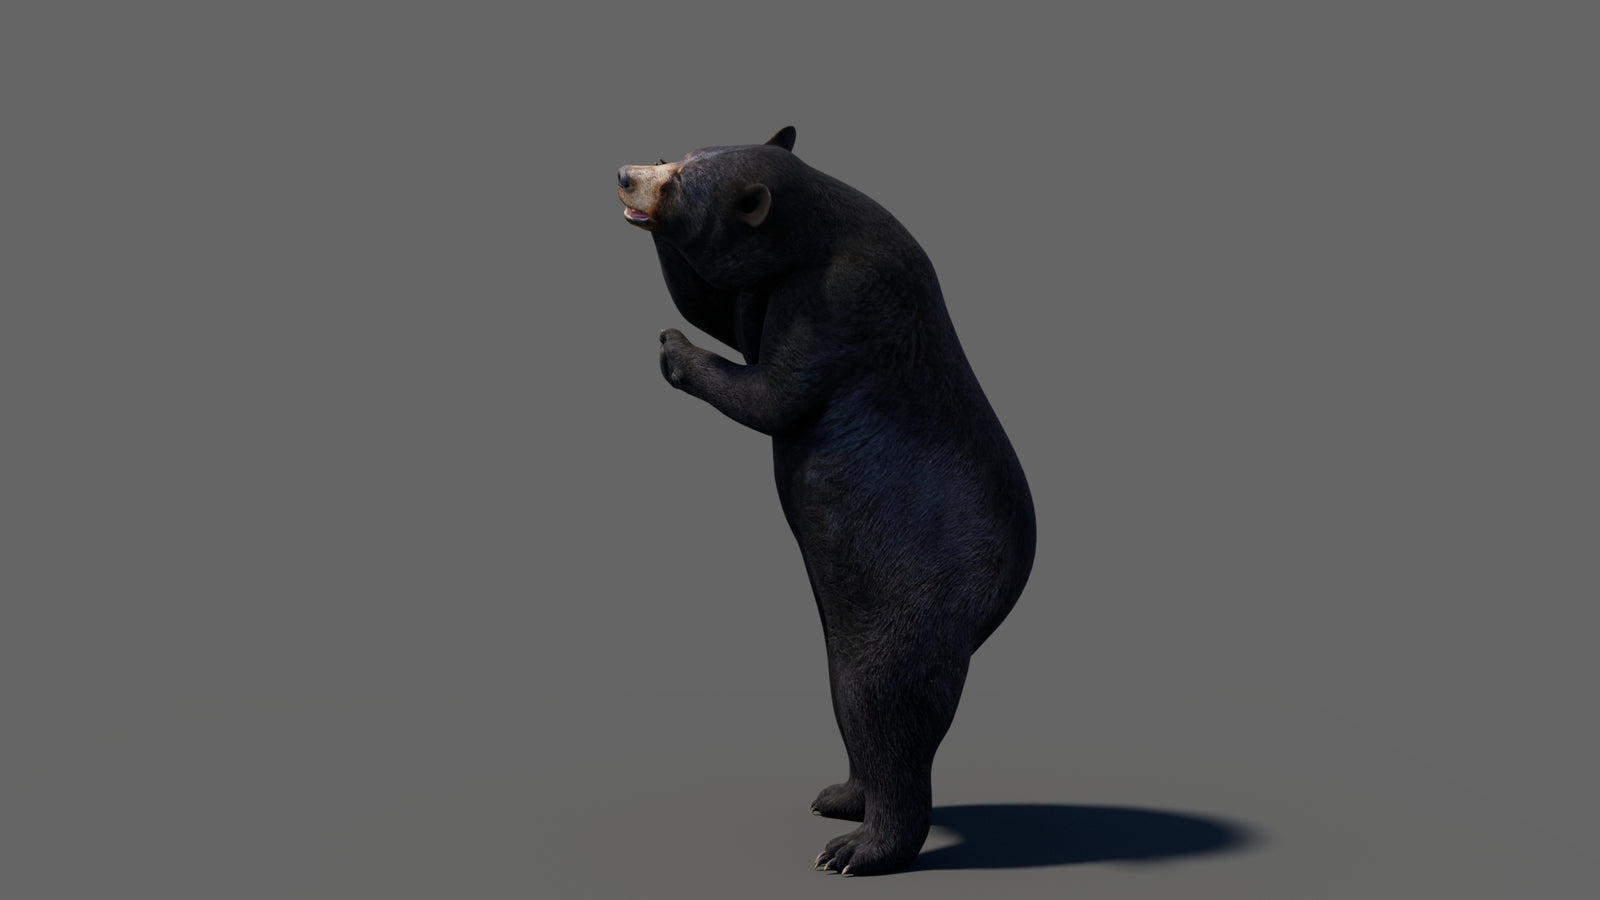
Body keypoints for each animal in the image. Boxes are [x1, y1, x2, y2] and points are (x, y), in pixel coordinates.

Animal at [617, 127, 1035, 875]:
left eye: (681, 183)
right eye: (675, 157)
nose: (624, 175)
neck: (823, 226)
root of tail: (997, 601)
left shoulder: (838, 298)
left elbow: (773, 392)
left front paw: (673, 347)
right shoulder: (773, 283)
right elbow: (724, 307)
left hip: (913, 599)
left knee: (883, 703)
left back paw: (860, 848)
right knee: (850, 698)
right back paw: (841, 796)